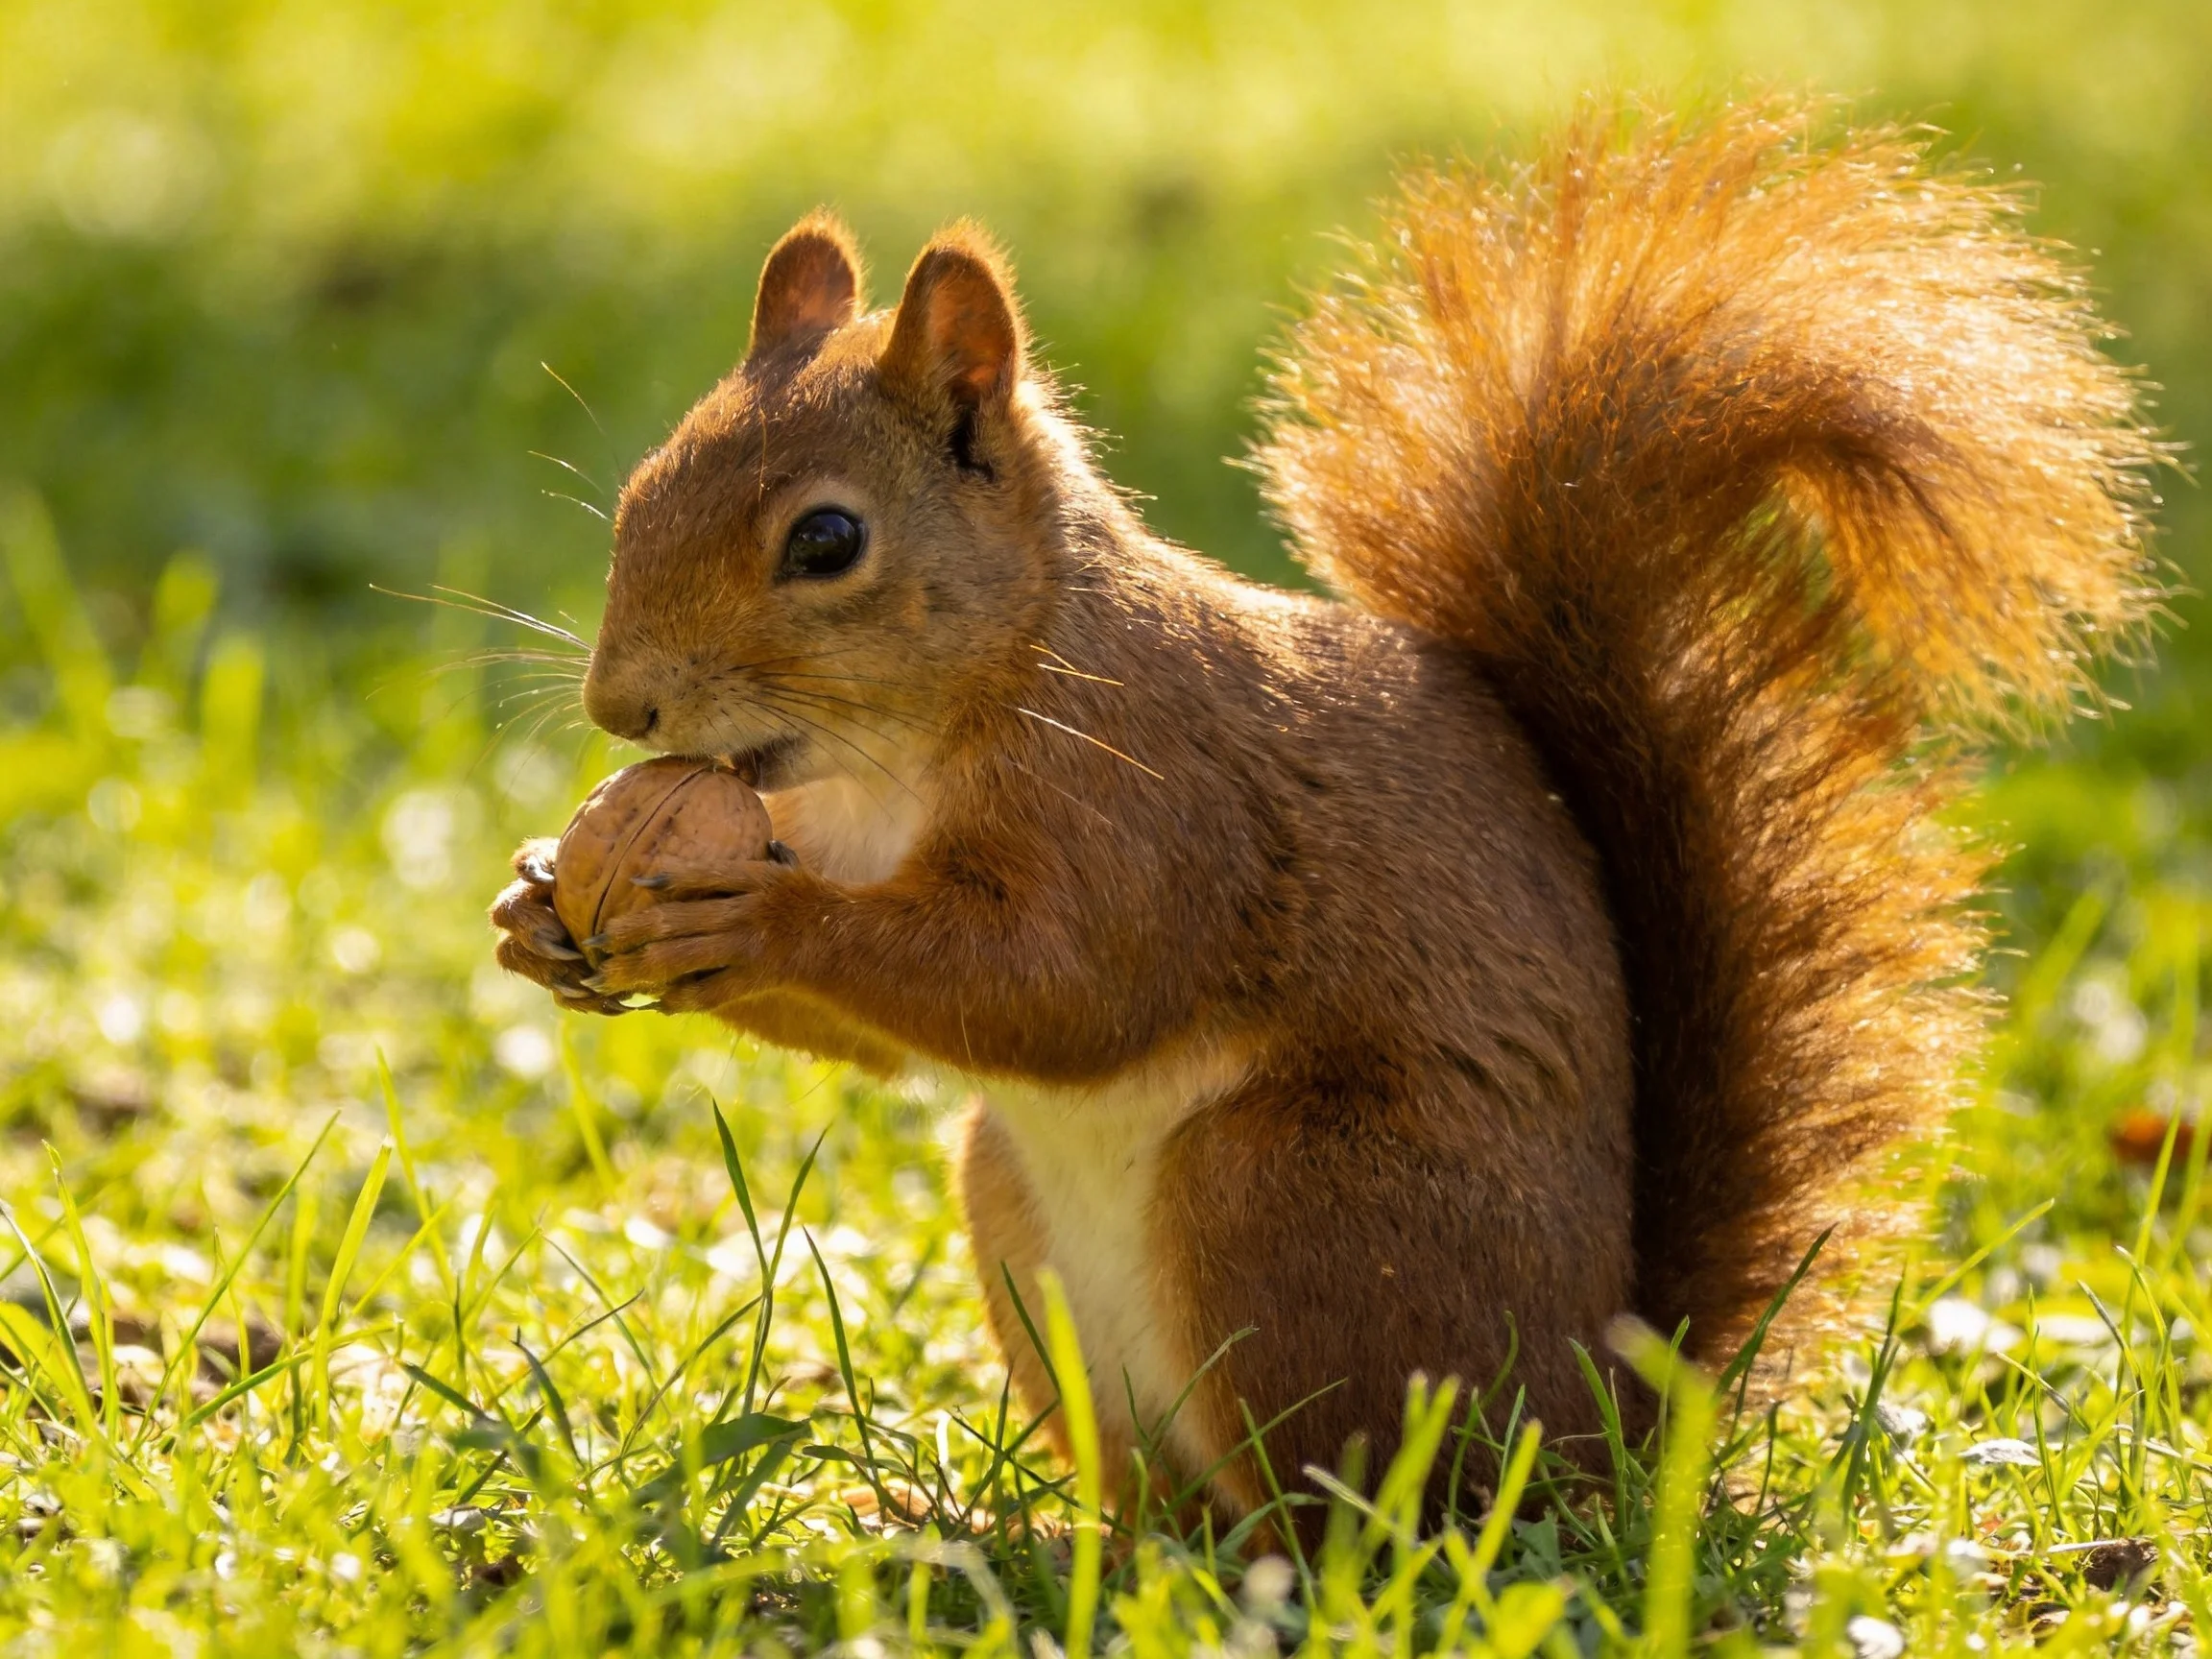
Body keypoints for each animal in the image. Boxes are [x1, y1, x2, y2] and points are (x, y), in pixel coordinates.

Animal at [491, 97, 2157, 1529]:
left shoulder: (1155, 800)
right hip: (1026, 1227)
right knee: (1169, 1496)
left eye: (827, 541)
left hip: (1291, 1206)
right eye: (643, 487)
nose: (621, 710)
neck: (909, 751)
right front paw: (534, 913)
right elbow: (898, 1037)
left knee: (1353, 1507)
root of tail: (1606, 1423)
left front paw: (755, 914)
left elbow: (1063, 989)